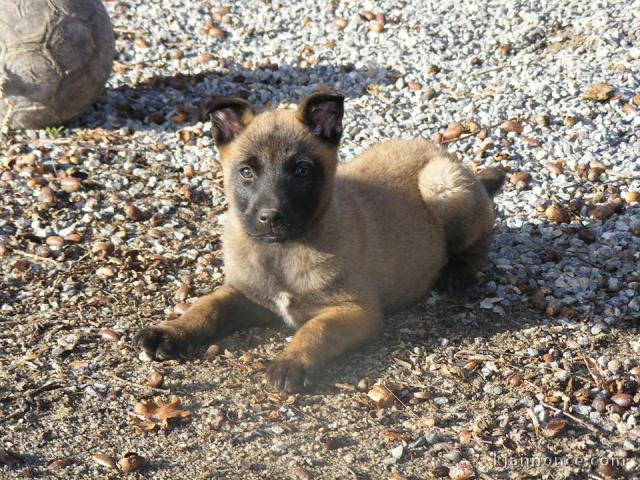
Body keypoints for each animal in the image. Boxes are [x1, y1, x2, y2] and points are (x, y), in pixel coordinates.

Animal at [135, 91, 504, 394]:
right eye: (246, 171)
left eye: (301, 170)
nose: (270, 217)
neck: (282, 251)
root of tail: (440, 150)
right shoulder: (247, 295)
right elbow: (208, 306)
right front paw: (170, 331)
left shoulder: (356, 309)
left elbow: (317, 328)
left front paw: (292, 362)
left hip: (441, 184)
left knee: (486, 230)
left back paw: (458, 273)